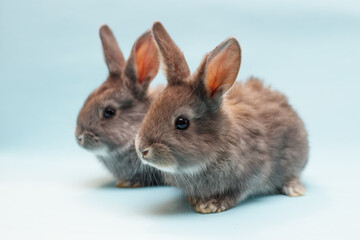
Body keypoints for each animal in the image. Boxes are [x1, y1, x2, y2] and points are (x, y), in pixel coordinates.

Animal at [134, 22, 308, 214]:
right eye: (152, 107)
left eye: (182, 122)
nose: (142, 150)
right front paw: (196, 200)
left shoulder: (252, 174)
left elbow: (237, 192)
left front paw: (211, 204)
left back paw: (294, 189)